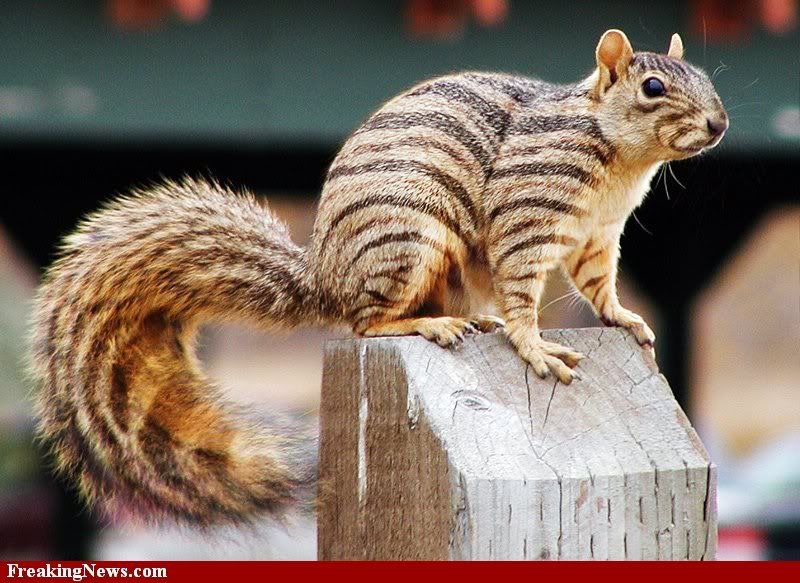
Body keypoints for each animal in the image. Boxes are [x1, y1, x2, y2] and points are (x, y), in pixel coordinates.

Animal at [31, 29, 728, 528]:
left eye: (702, 79)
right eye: (653, 86)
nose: (719, 125)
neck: (620, 158)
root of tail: (326, 276)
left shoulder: (598, 235)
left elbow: (599, 286)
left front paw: (623, 319)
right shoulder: (526, 211)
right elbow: (523, 289)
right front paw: (535, 347)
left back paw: (469, 317)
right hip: (405, 241)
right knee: (367, 323)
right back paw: (430, 325)